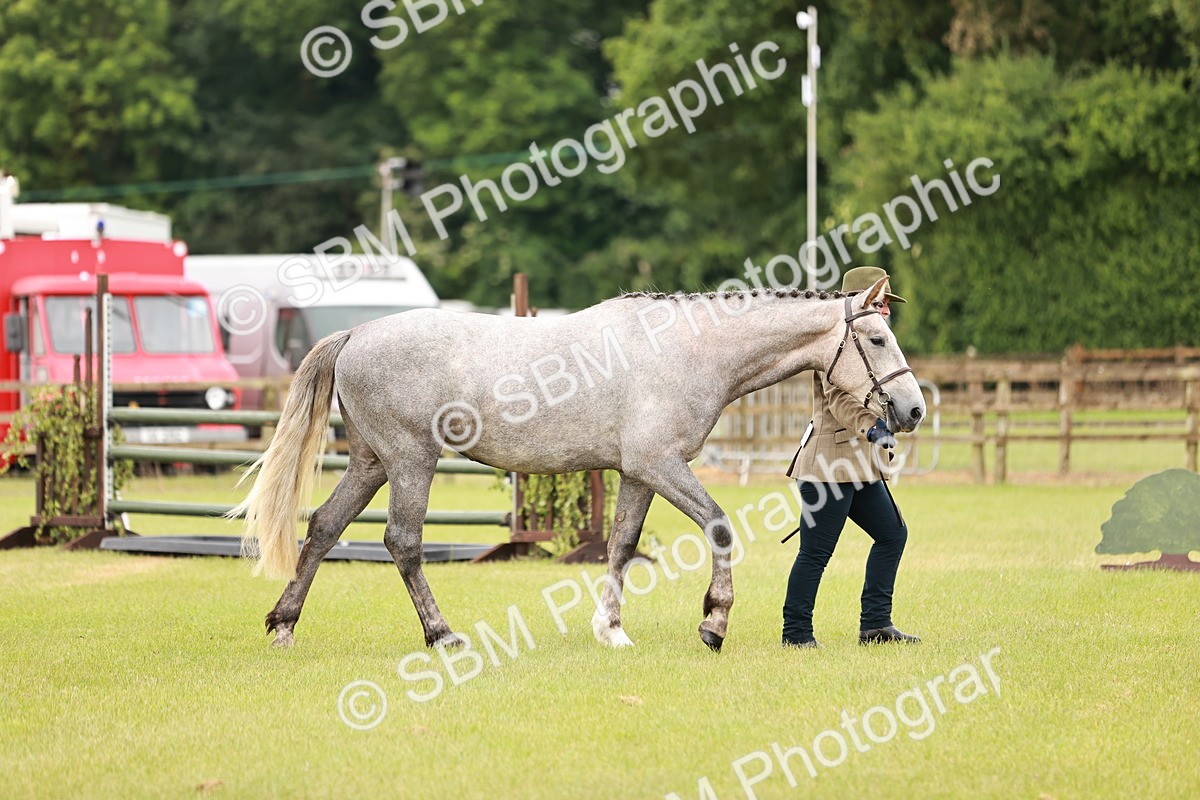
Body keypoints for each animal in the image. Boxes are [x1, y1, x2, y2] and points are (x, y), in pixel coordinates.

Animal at [235, 276, 925, 652]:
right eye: (876, 339)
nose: (913, 409)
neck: (689, 349)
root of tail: (358, 334)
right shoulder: (660, 464)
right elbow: (719, 526)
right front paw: (714, 621)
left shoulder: (638, 474)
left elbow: (620, 545)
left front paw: (611, 629)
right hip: (410, 462)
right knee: (402, 541)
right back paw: (442, 635)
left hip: (371, 463)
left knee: (325, 526)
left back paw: (283, 625)